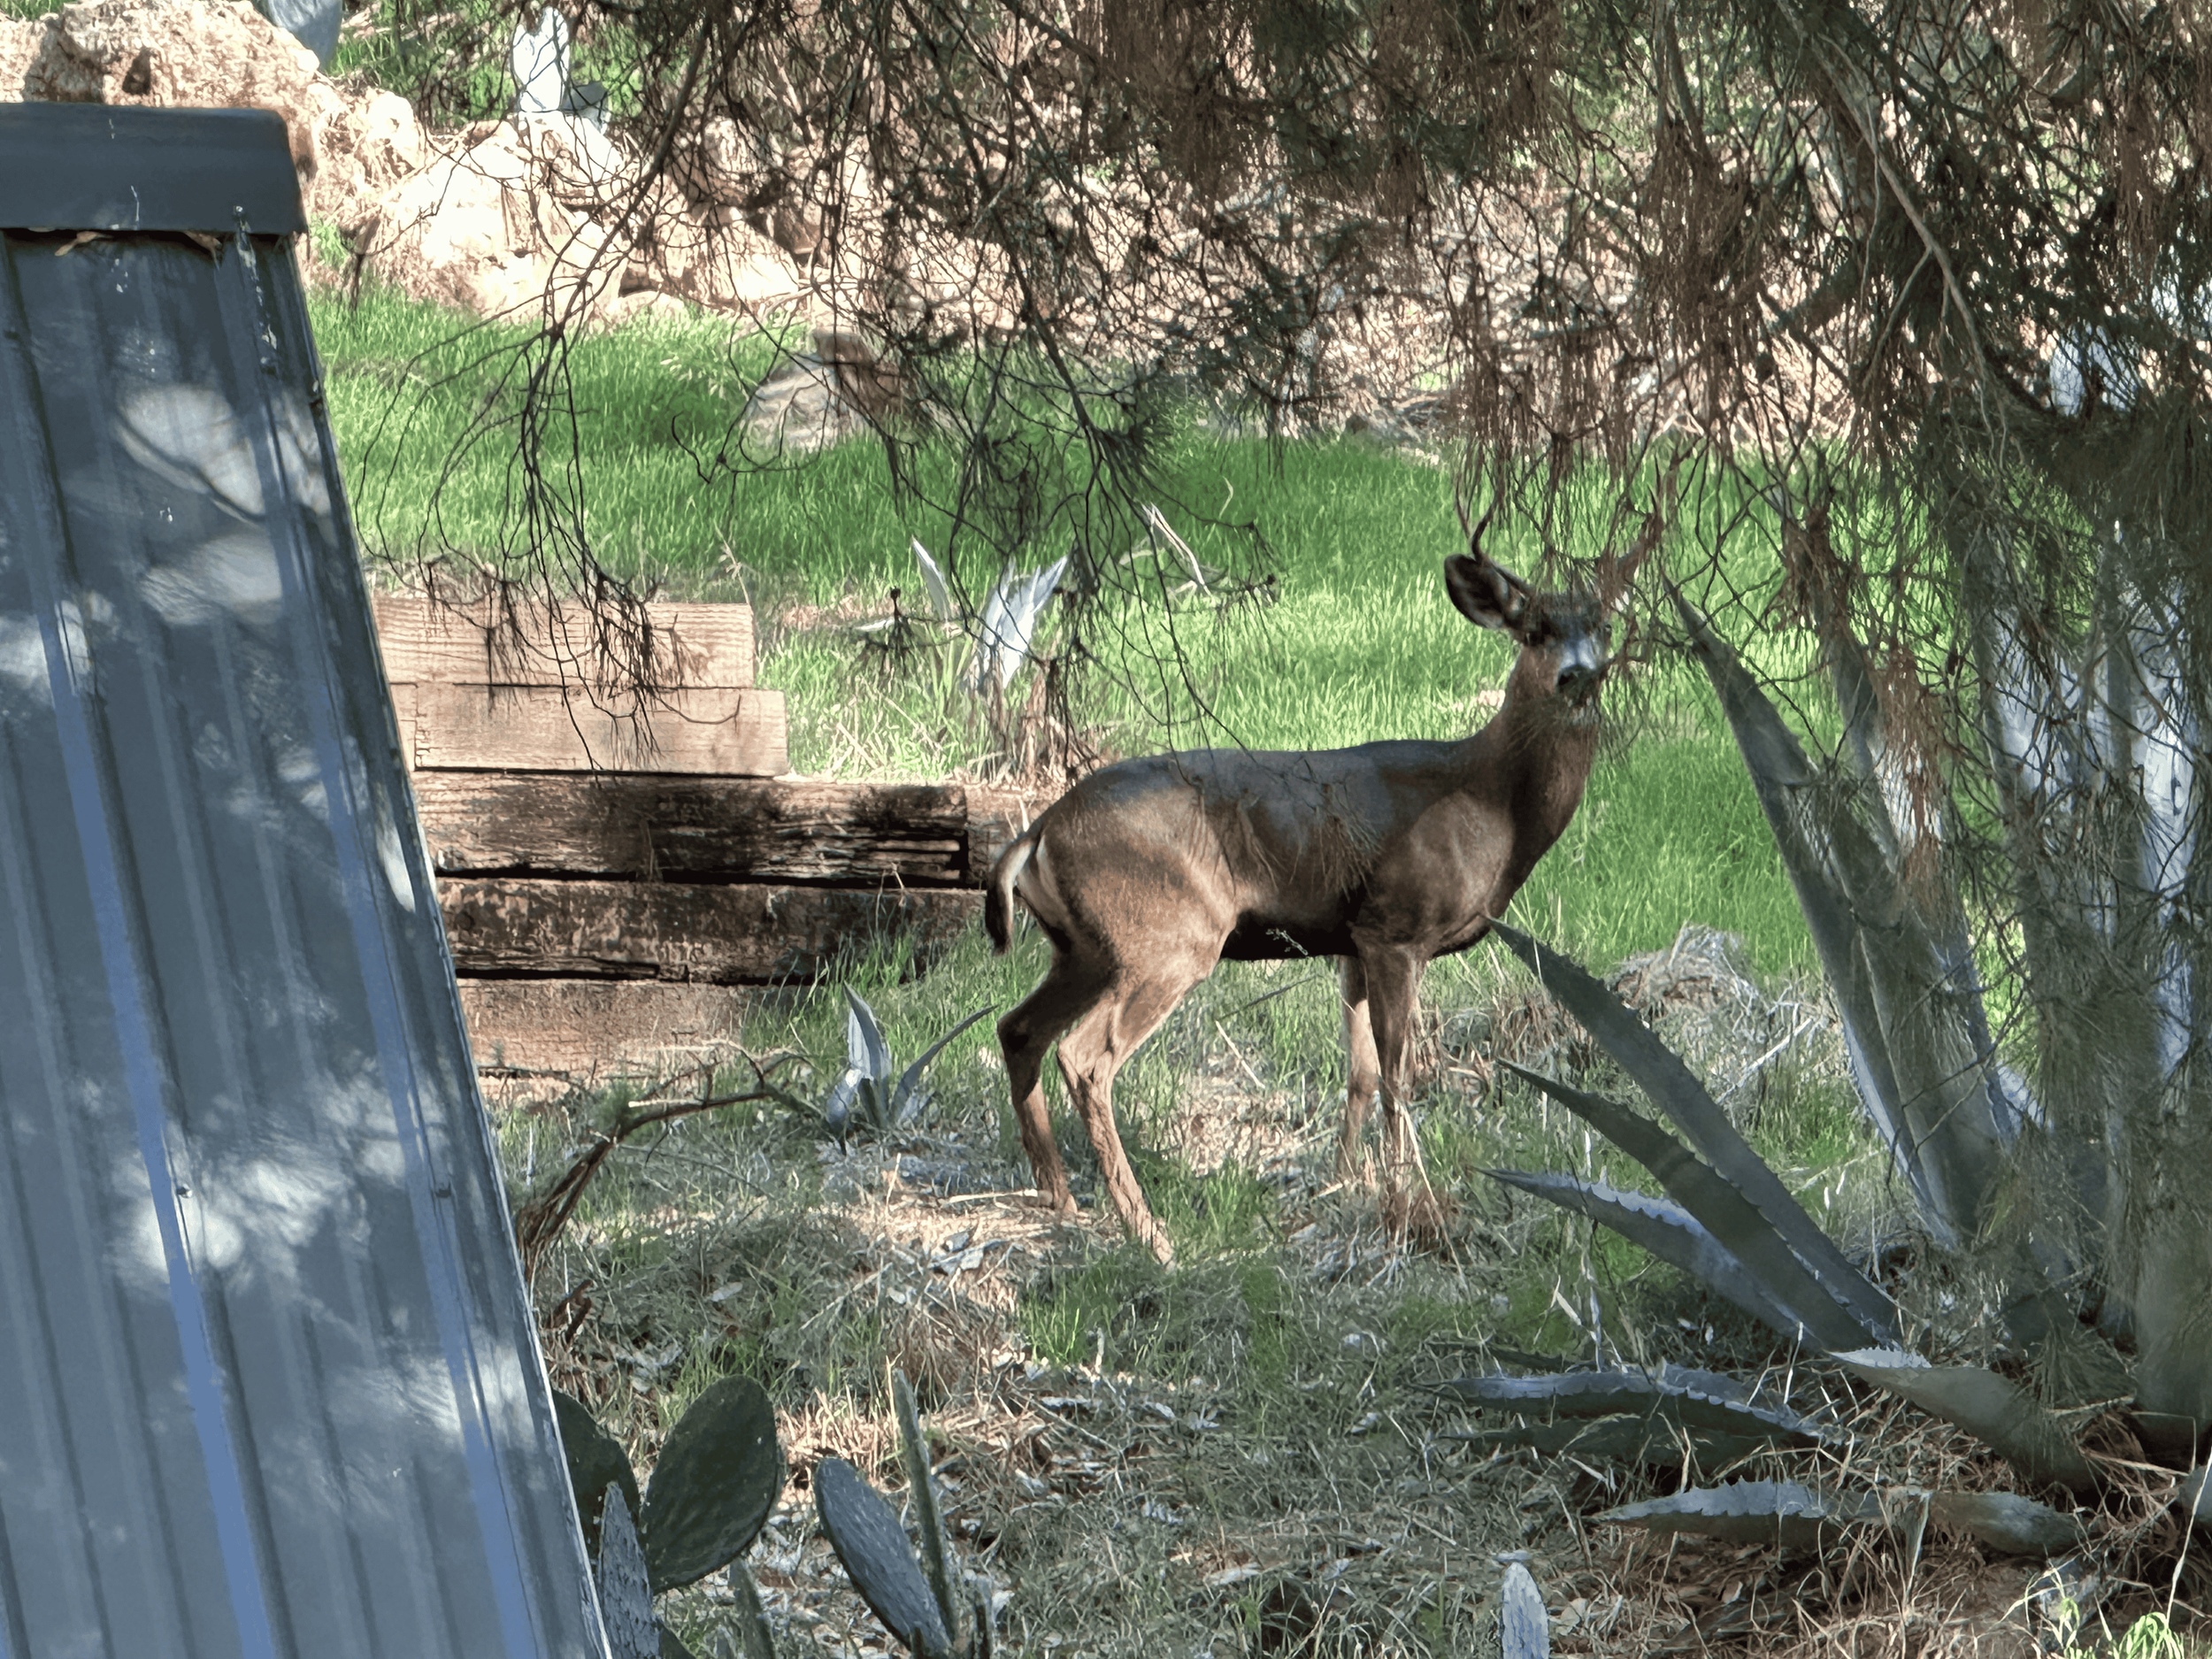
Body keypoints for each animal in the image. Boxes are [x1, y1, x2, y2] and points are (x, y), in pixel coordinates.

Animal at [983, 509, 1642, 1261]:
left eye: (1605, 626)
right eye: (1533, 630)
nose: (1577, 677)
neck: (1491, 800)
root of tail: (1041, 829)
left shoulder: (1352, 941)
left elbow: (1359, 1074)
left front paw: (1346, 1183)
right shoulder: (1396, 926)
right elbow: (1398, 1078)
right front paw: (1412, 1202)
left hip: (1083, 948)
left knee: (1017, 1027)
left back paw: (1059, 1198)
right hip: (1165, 934)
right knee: (1086, 1057)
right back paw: (1149, 1232)